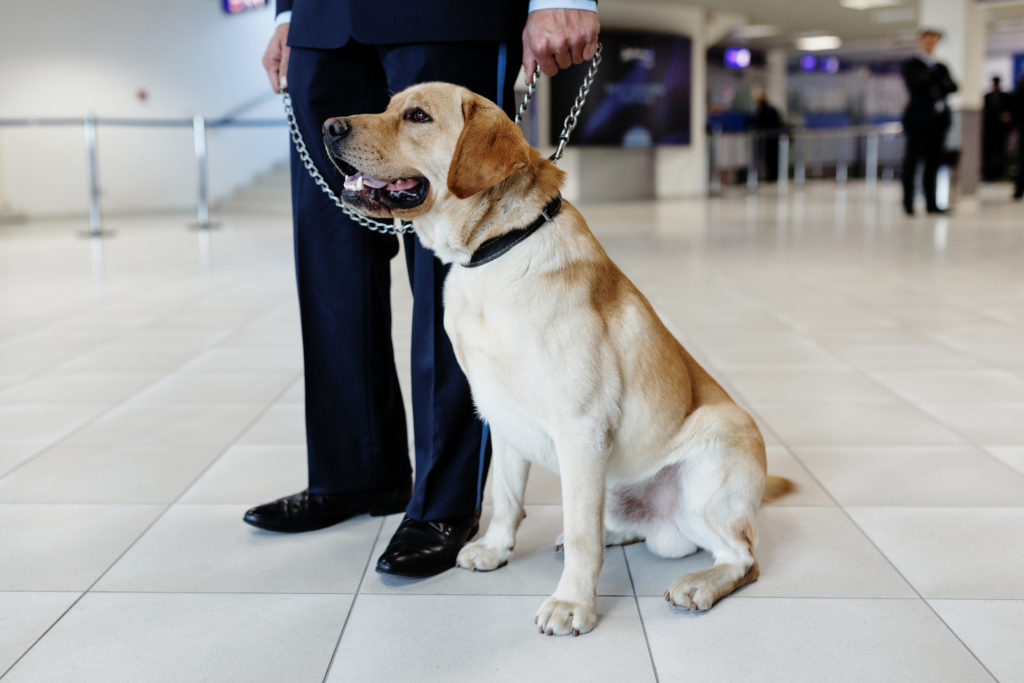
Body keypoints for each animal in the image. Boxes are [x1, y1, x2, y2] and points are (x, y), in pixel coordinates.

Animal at [323, 82, 786, 638]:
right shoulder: (499, 415)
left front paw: (572, 604)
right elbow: (506, 495)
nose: (327, 126)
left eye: (417, 116)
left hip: (710, 462)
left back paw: (700, 582)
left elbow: (580, 534)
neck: (493, 253)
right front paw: (495, 548)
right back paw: (617, 534)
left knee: (742, 557)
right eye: (390, 105)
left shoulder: (580, 428)